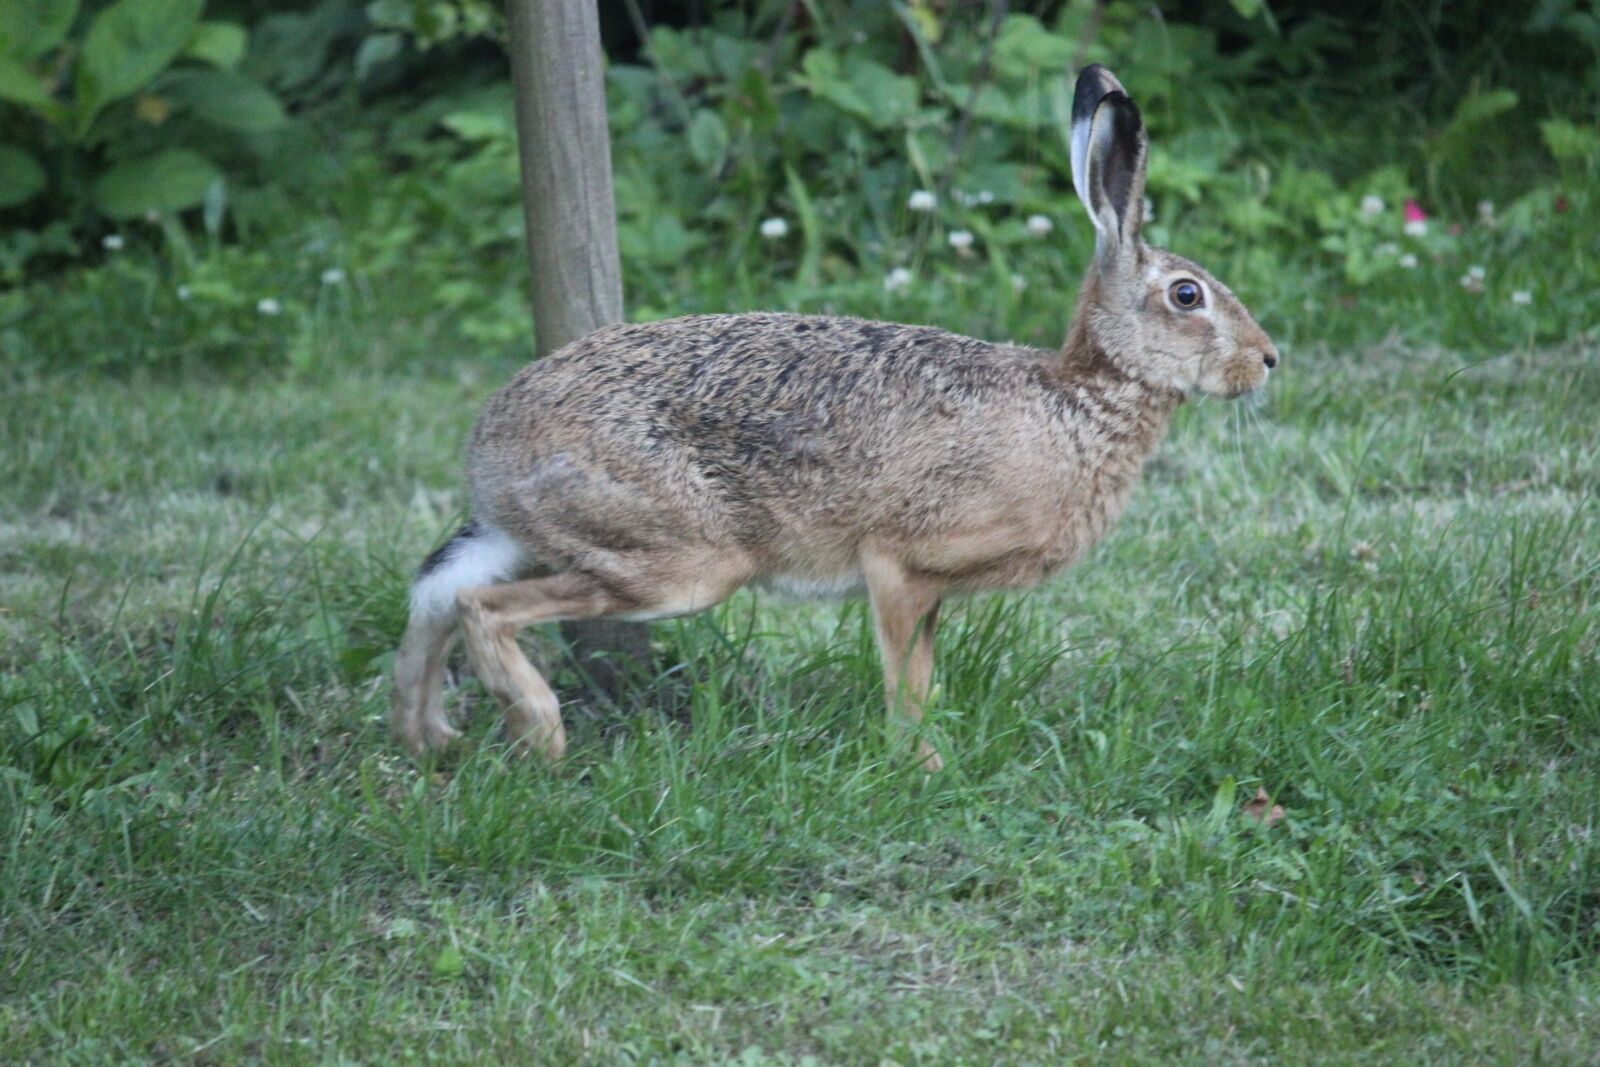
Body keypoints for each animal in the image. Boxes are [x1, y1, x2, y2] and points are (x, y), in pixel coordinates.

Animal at [391, 64, 1279, 772]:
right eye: (1188, 296)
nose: (1268, 359)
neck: (1080, 401)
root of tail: (490, 440)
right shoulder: (901, 563)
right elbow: (906, 679)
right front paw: (923, 765)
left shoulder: (935, 589)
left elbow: (924, 673)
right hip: (678, 557)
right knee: (482, 607)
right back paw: (539, 734)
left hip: (544, 530)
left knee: (438, 591)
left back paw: (427, 735)